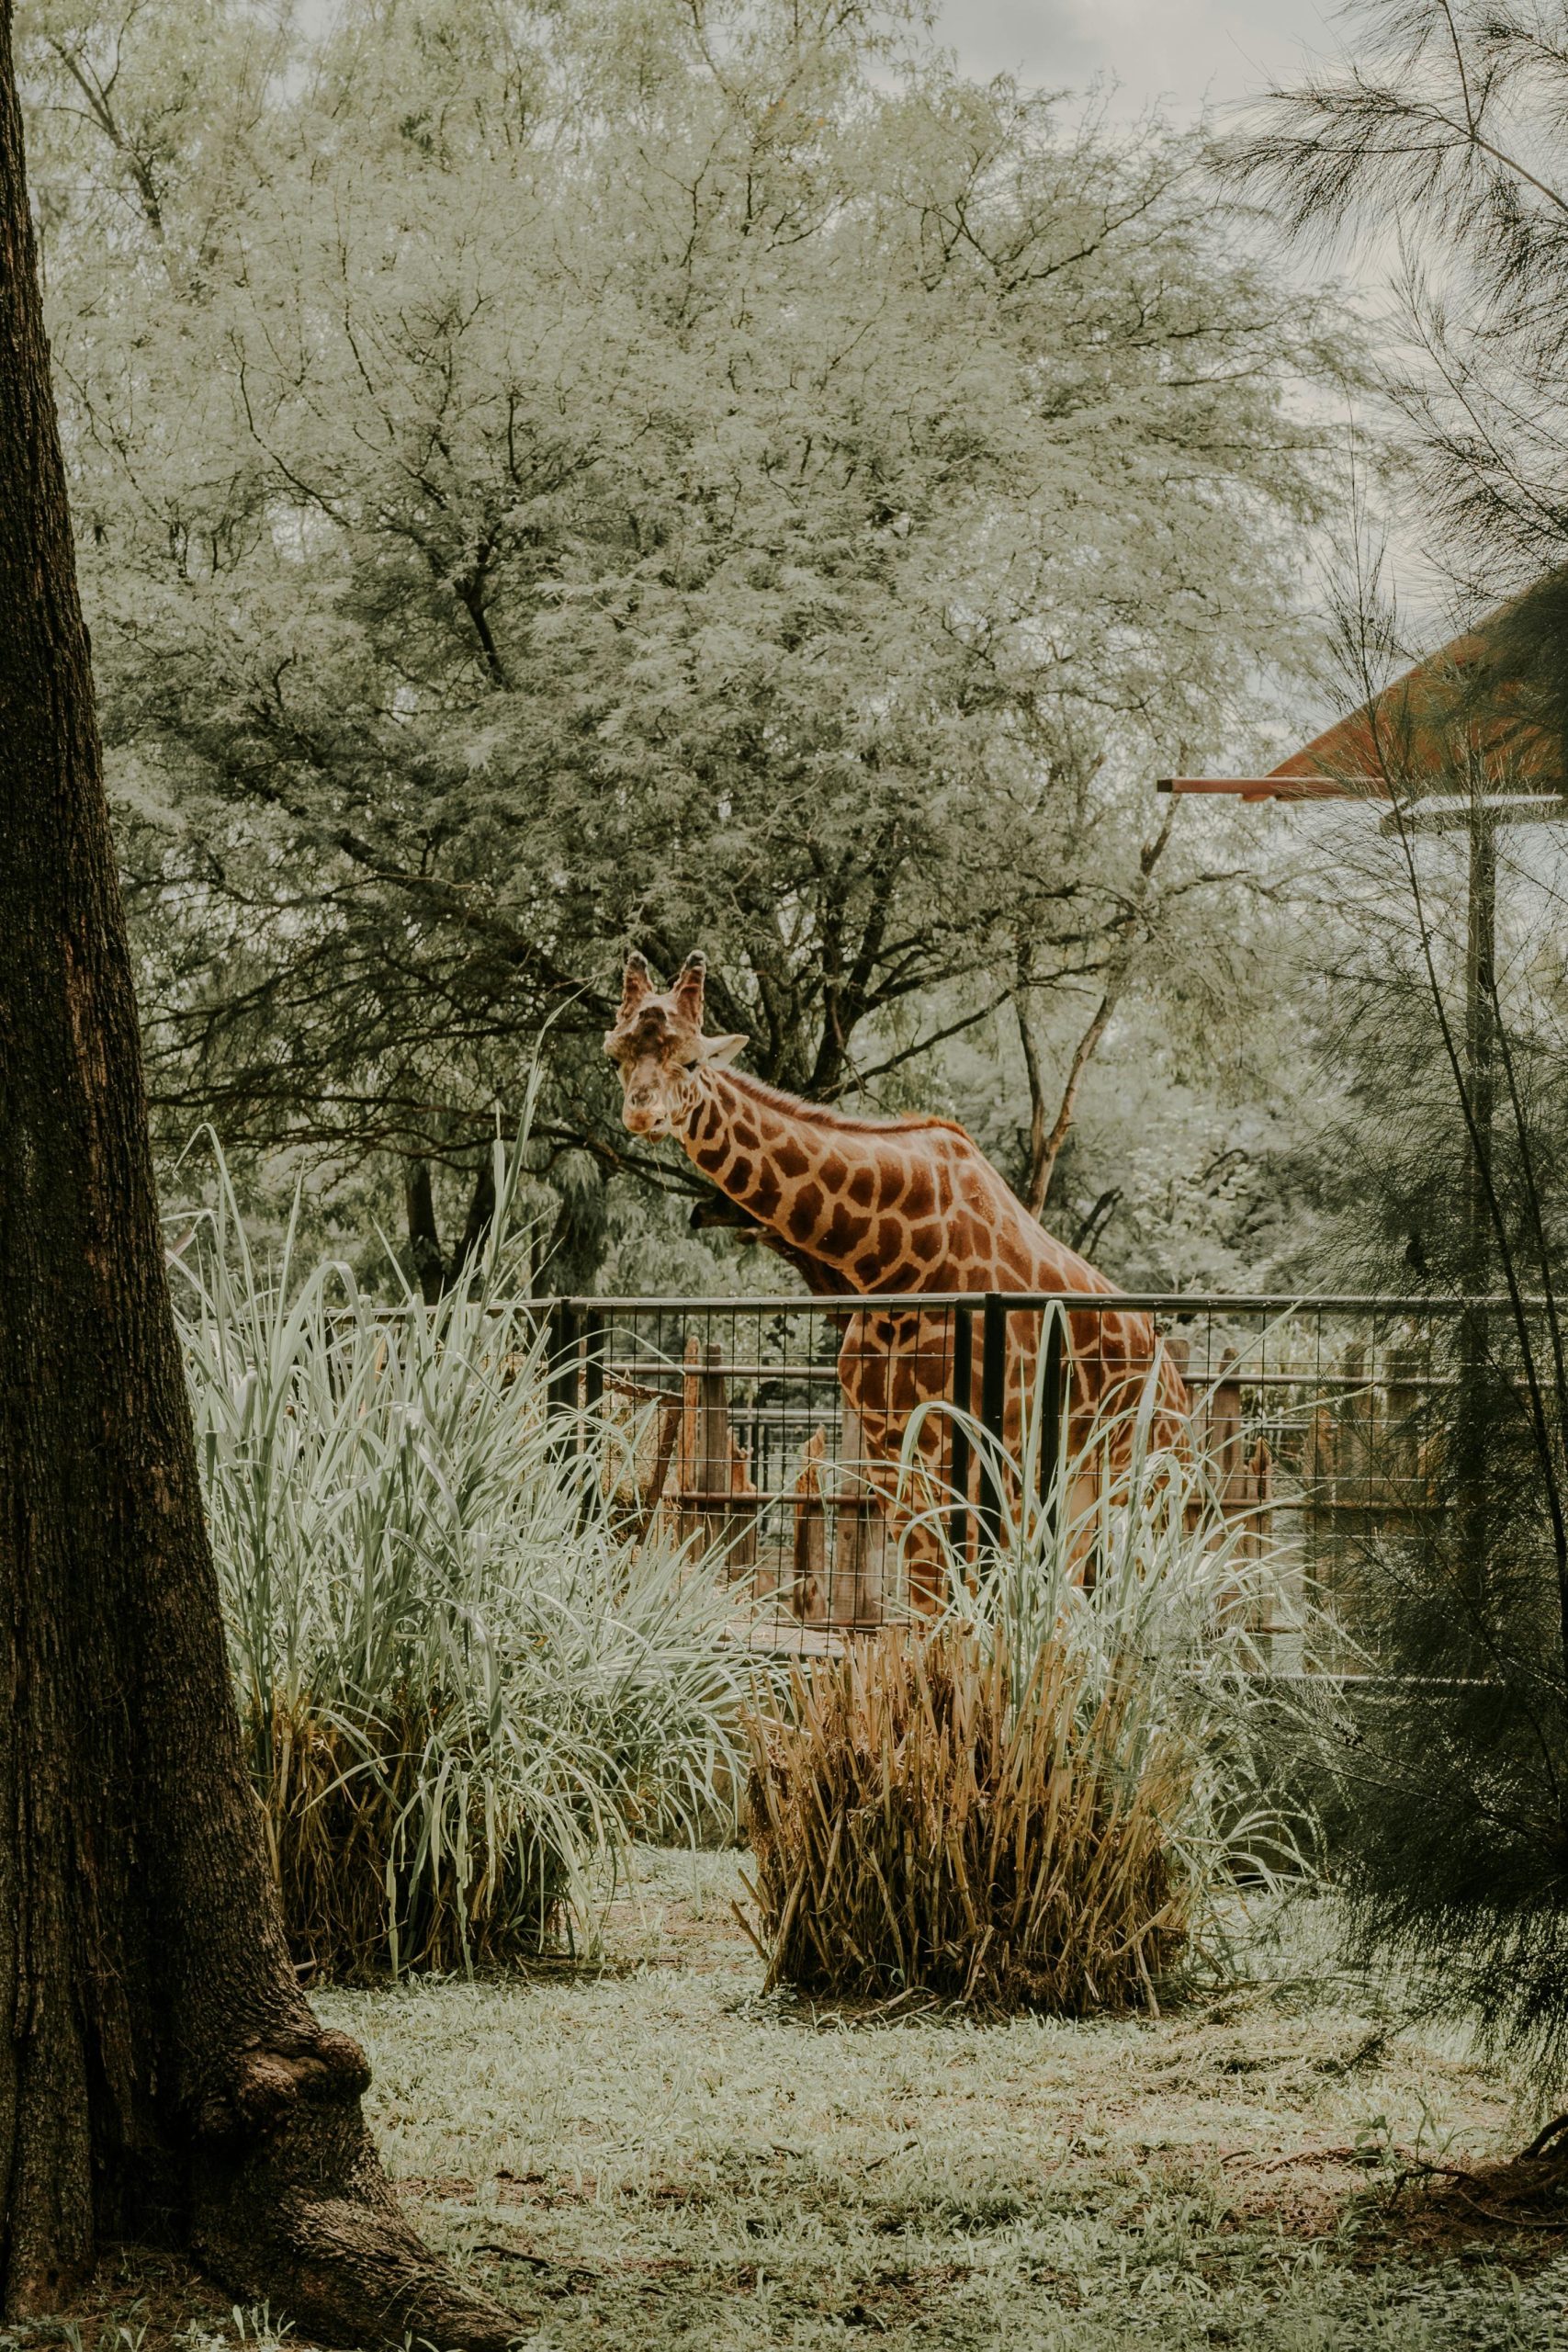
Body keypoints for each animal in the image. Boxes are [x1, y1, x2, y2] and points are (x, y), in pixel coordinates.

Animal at [606, 945, 1184, 1609]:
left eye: (692, 1058)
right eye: (616, 1053)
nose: (642, 1113)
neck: (886, 1264)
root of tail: (1177, 1383)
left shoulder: (983, 1453)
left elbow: (960, 1605)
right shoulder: (893, 1458)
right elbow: (926, 1603)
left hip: (1137, 1478)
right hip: (1076, 1484)